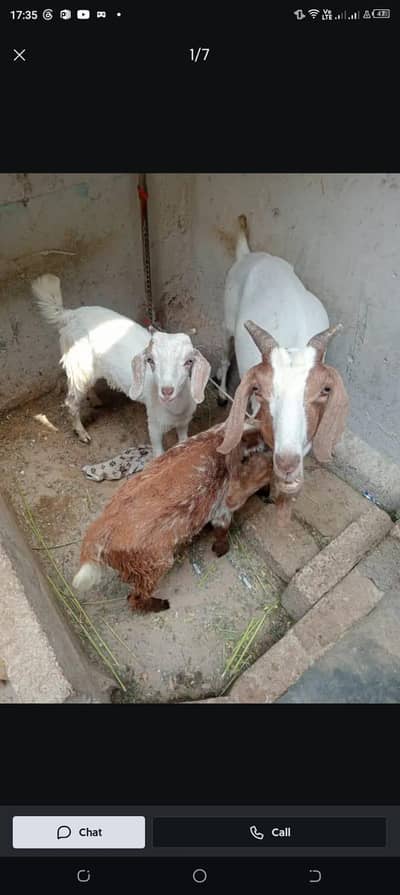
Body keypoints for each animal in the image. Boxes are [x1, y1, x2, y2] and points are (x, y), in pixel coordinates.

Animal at [31, 274, 210, 455]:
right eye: (151, 360)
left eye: (189, 361)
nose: (167, 391)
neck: (175, 410)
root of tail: (70, 314)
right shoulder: (154, 425)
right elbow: (159, 454)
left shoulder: (184, 423)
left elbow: (184, 442)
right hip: (78, 364)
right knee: (71, 402)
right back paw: (82, 433)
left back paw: (95, 400)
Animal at [72, 423, 272, 612]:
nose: (268, 497)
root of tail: (98, 534)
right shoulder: (223, 508)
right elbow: (222, 531)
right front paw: (221, 550)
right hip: (157, 564)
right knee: (135, 599)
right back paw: (161, 605)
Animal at [216, 216, 349, 522]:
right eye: (261, 392)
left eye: (323, 391)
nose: (287, 460)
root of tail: (250, 255)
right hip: (228, 320)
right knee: (226, 351)